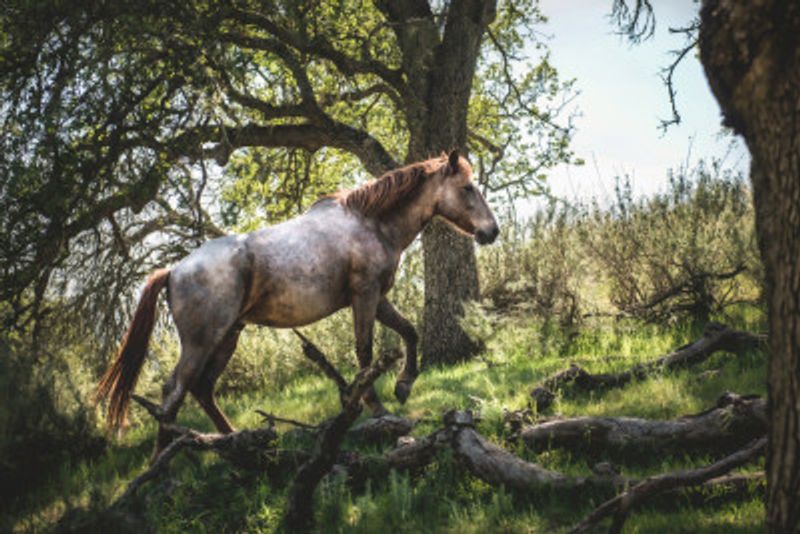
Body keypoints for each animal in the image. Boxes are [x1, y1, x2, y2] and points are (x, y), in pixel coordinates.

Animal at [96, 150, 499, 455]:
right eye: (467, 187)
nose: (491, 231)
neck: (369, 222)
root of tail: (175, 270)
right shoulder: (365, 295)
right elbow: (365, 353)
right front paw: (378, 409)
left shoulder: (378, 298)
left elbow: (410, 332)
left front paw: (403, 386)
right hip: (202, 341)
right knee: (174, 392)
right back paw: (163, 461)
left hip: (228, 335)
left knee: (202, 388)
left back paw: (235, 441)